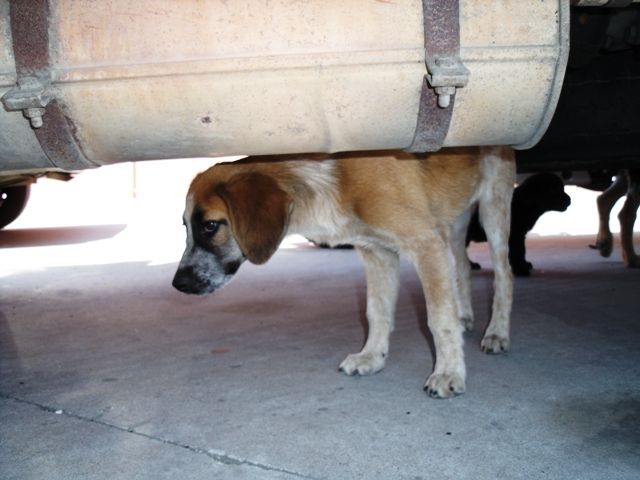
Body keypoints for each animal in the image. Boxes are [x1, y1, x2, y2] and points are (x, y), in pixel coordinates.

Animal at [173, 147, 516, 398]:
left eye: (210, 225)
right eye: (185, 227)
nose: (178, 283)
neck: (334, 180)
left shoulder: (425, 245)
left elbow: (439, 319)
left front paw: (448, 372)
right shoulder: (378, 253)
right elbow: (376, 312)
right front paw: (372, 357)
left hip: (493, 208)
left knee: (505, 274)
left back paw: (497, 332)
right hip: (453, 222)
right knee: (462, 265)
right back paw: (466, 315)